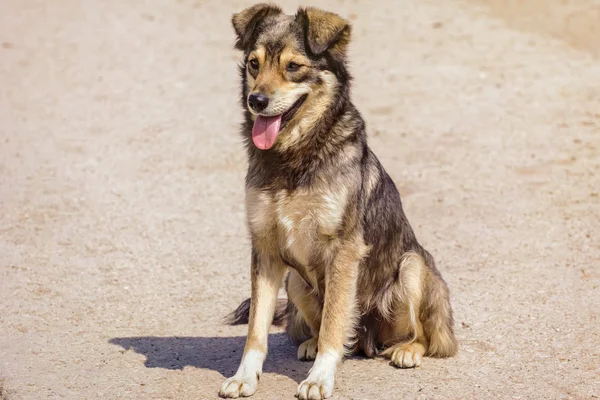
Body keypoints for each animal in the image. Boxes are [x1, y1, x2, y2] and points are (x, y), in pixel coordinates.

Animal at [218, 3, 458, 400]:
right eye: (254, 63)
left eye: (293, 67)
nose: (257, 101)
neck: (295, 155)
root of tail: (367, 341)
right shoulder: (265, 248)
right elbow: (256, 328)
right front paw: (245, 376)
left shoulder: (343, 250)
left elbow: (334, 323)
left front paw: (319, 379)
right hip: (296, 282)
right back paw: (311, 343)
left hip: (411, 267)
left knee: (428, 338)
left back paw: (407, 349)